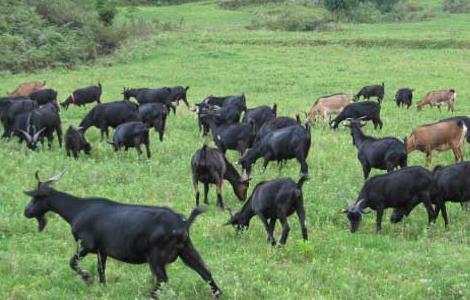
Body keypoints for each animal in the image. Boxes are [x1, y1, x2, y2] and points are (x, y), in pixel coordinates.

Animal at [24, 172, 223, 298]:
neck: (77, 210)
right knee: (205, 272)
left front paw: (87, 278)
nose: (26, 212)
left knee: (163, 279)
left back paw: (149, 296)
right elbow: (101, 269)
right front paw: (102, 288)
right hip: (187, 249)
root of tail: (182, 223)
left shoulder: (87, 245)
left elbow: (73, 262)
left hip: (156, 256)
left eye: (36, 197)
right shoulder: (101, 250)